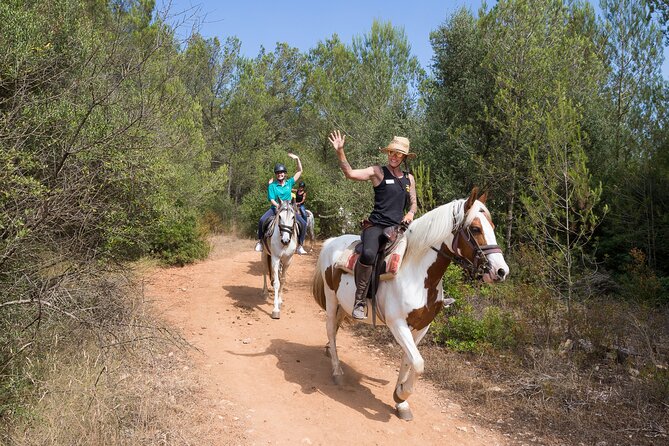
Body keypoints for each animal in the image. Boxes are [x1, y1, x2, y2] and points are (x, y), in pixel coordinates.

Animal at [310, 188, 508, 422]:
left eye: (492, 226)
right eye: (475, 228)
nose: (501, 271)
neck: (417, 273)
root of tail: (332, 241)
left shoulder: (422, 326)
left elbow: (409, 360)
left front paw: (401, 402)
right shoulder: (397, 325)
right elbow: (419, 363)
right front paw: (401, 394)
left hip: (344, 304)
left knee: (336, 328)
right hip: (331, 299)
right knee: (330, 329)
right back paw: (337, 372)